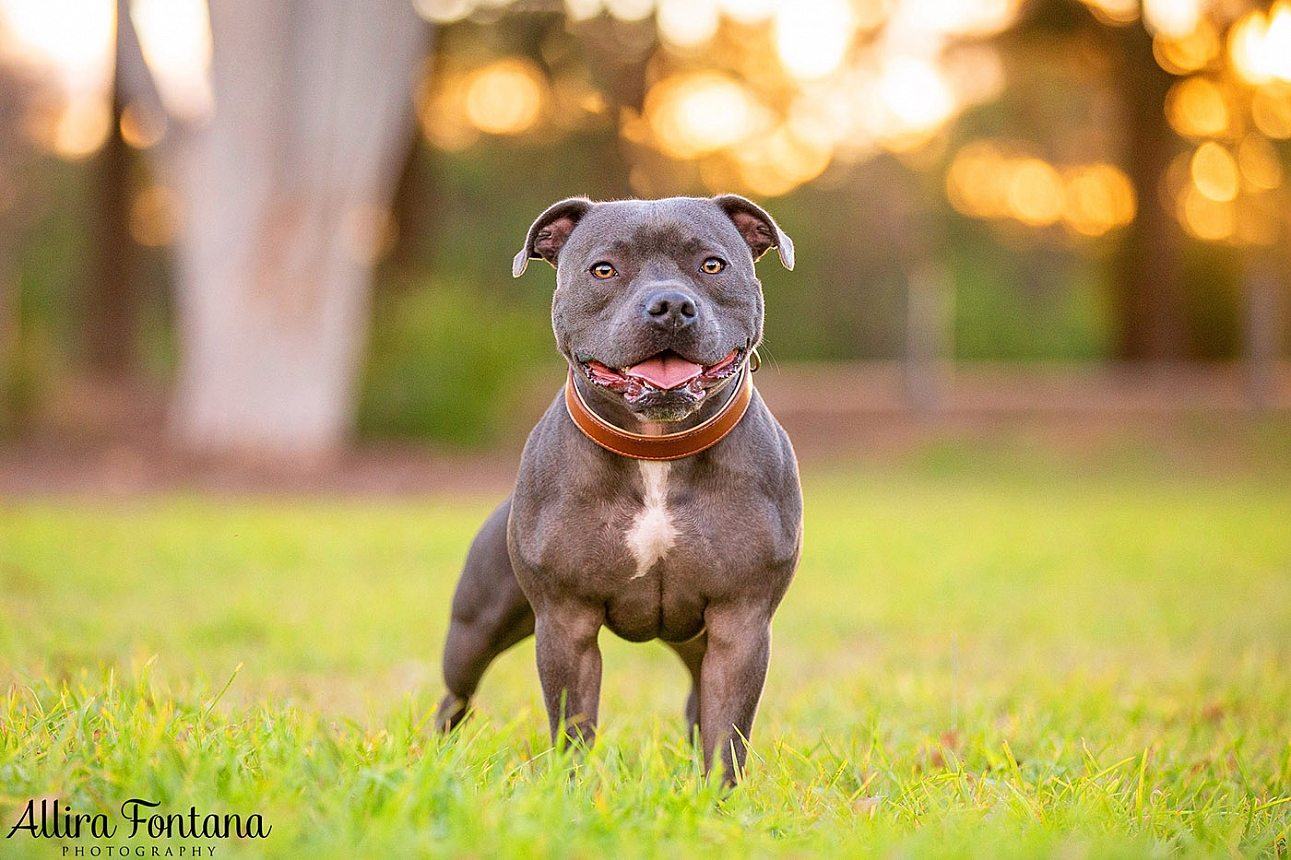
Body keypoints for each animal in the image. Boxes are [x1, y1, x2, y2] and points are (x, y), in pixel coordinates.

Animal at [436, 196, 795, 785]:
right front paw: (572, 792)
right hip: (475, 628)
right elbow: (572, 724)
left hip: (696, 642)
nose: (670, 304)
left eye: (712, 265)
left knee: (698, 705)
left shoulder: (740, 625)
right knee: (455, 695)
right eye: (603, 270)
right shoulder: (566, 624)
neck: (655, 450)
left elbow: (727, 734)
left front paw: (719, 799)